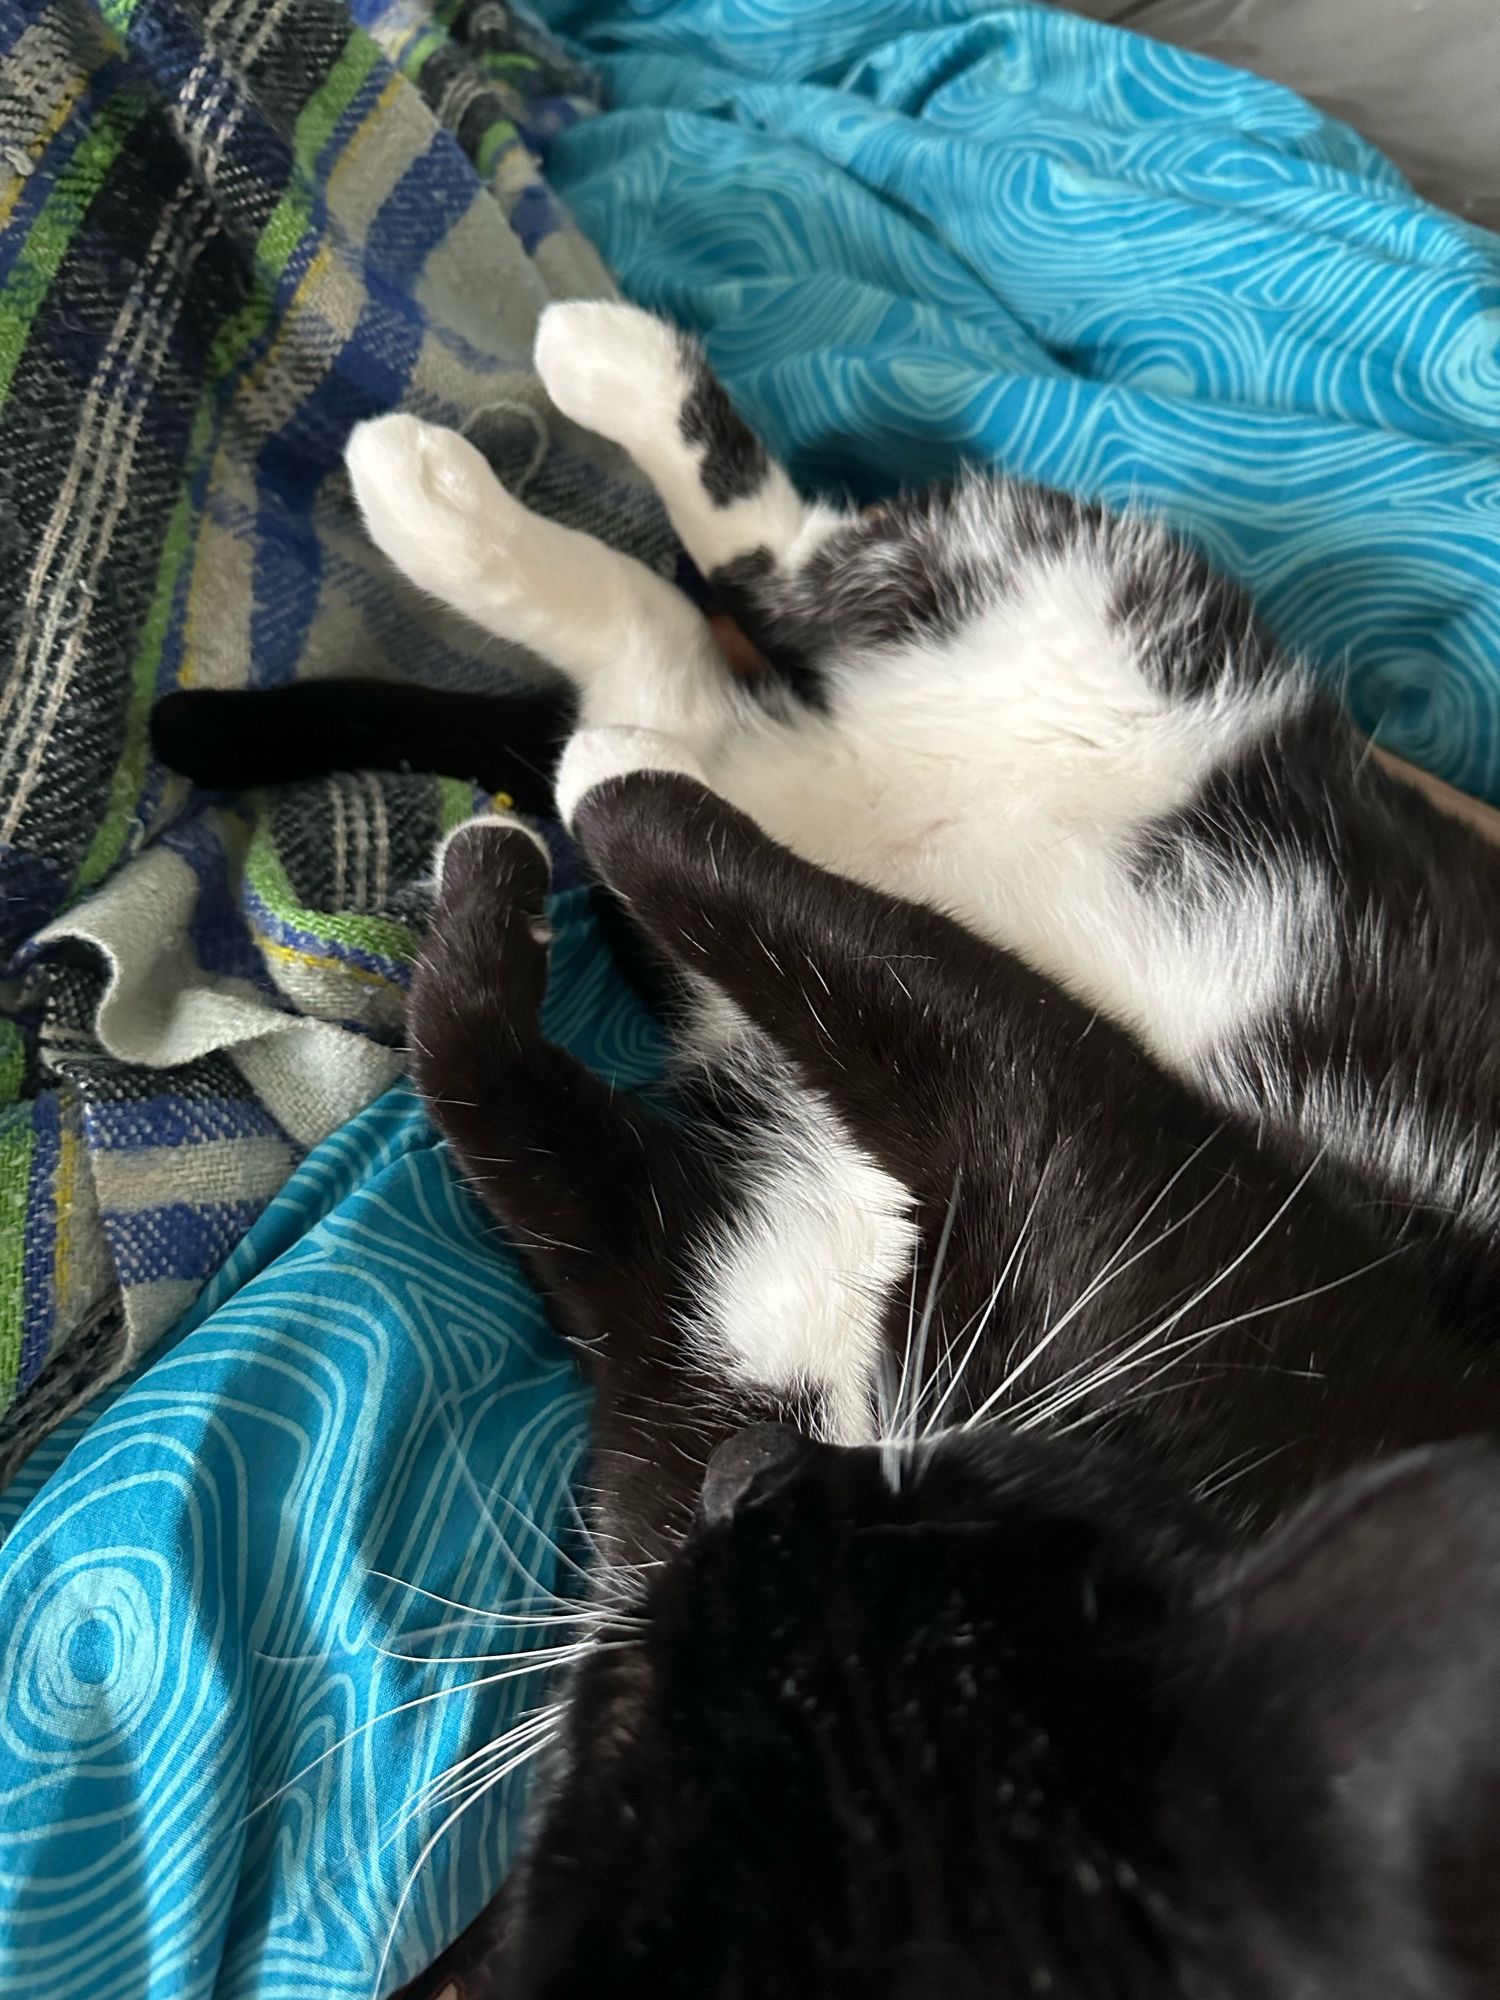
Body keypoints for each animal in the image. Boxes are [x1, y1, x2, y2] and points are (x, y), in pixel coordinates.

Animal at [156, 304, 1500, 1992]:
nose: (760, 1479)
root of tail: (861, 765)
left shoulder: (1080, 1175)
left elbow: (586, 1041)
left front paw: (576, 812)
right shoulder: (707, 1304)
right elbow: (525, 1101)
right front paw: (525, 854)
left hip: (1074, 661)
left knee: (742, 624)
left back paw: (513, 488)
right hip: (1057, 652)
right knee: (740, 603)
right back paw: (501, 453)